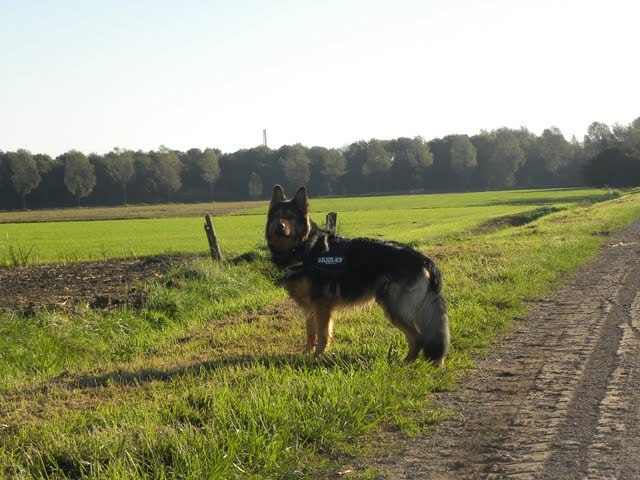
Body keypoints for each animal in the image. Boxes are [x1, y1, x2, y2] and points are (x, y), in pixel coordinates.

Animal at [265, 185, 450, 364]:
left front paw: (317, 356)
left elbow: (322, 334)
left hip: (394, 308)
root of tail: (422, 258)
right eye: (276, 217)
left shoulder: (321, 306)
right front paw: (306, 353)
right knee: (418, 338)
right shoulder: (309, 307)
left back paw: (406, 363)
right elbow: (311, 333)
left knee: (418, 337)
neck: (306, 248)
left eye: (290, 217)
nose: (280, 226)